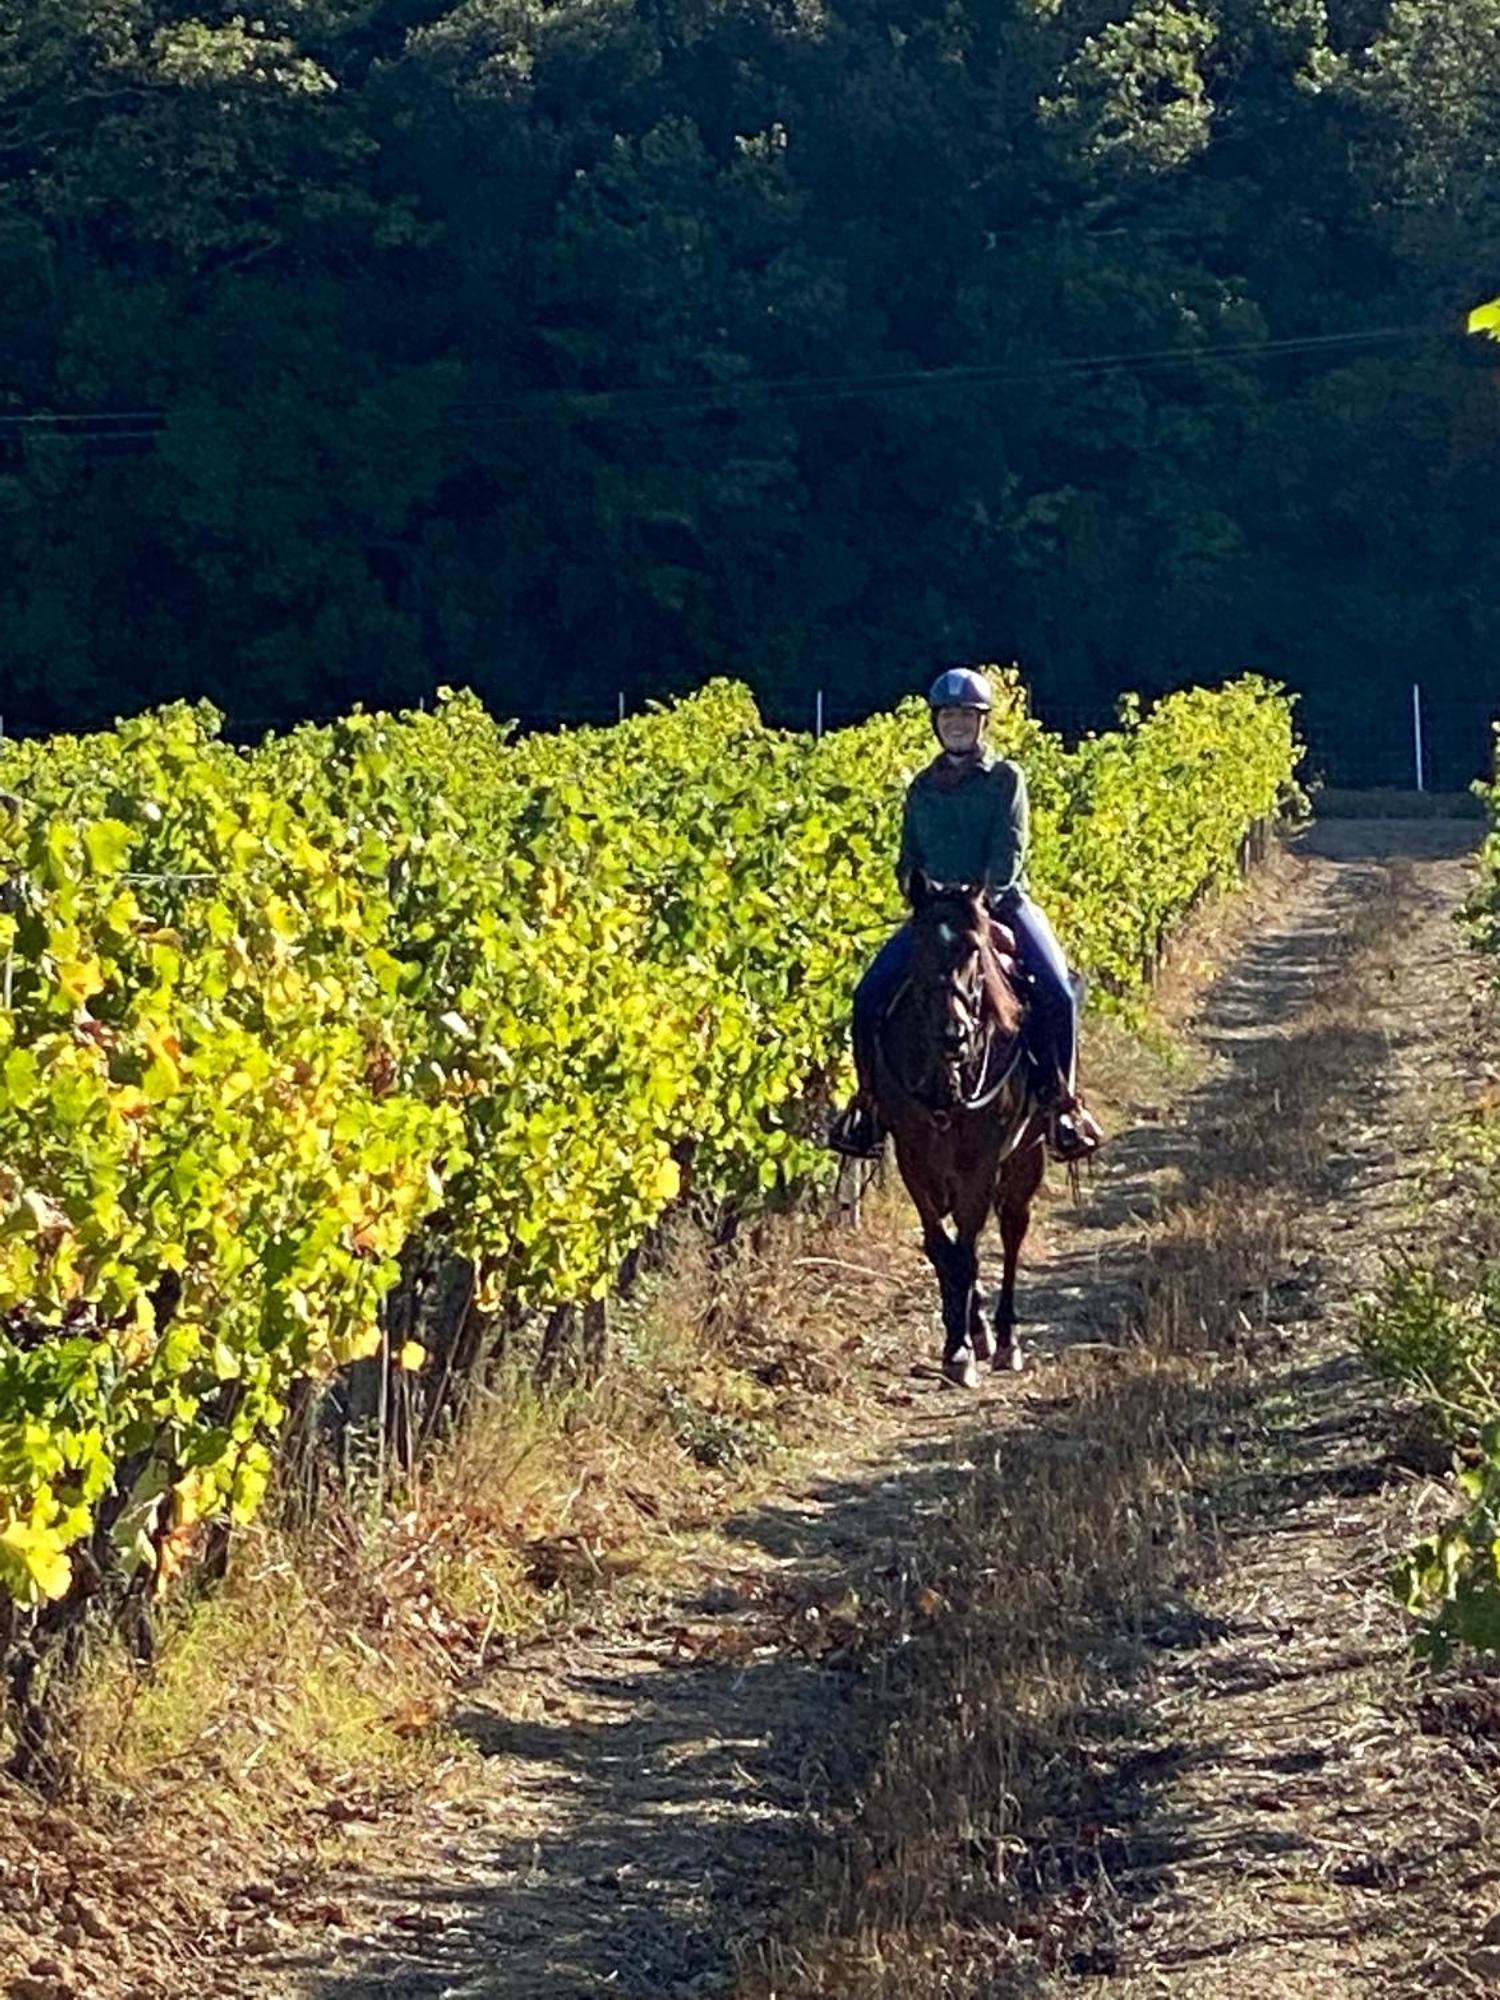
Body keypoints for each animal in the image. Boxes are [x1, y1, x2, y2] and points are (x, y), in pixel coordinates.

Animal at [876, 876, 1048, 1392]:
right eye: (918, 946)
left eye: (974, 947)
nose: (955, 1034)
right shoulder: (912, 1157)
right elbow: (943, 1249)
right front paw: (960, 1341)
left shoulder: (983, 1159)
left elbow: (968, 1251)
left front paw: (962, 1350)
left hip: (1027, 1152)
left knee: (1012, 1228)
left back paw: (1007, 1340)